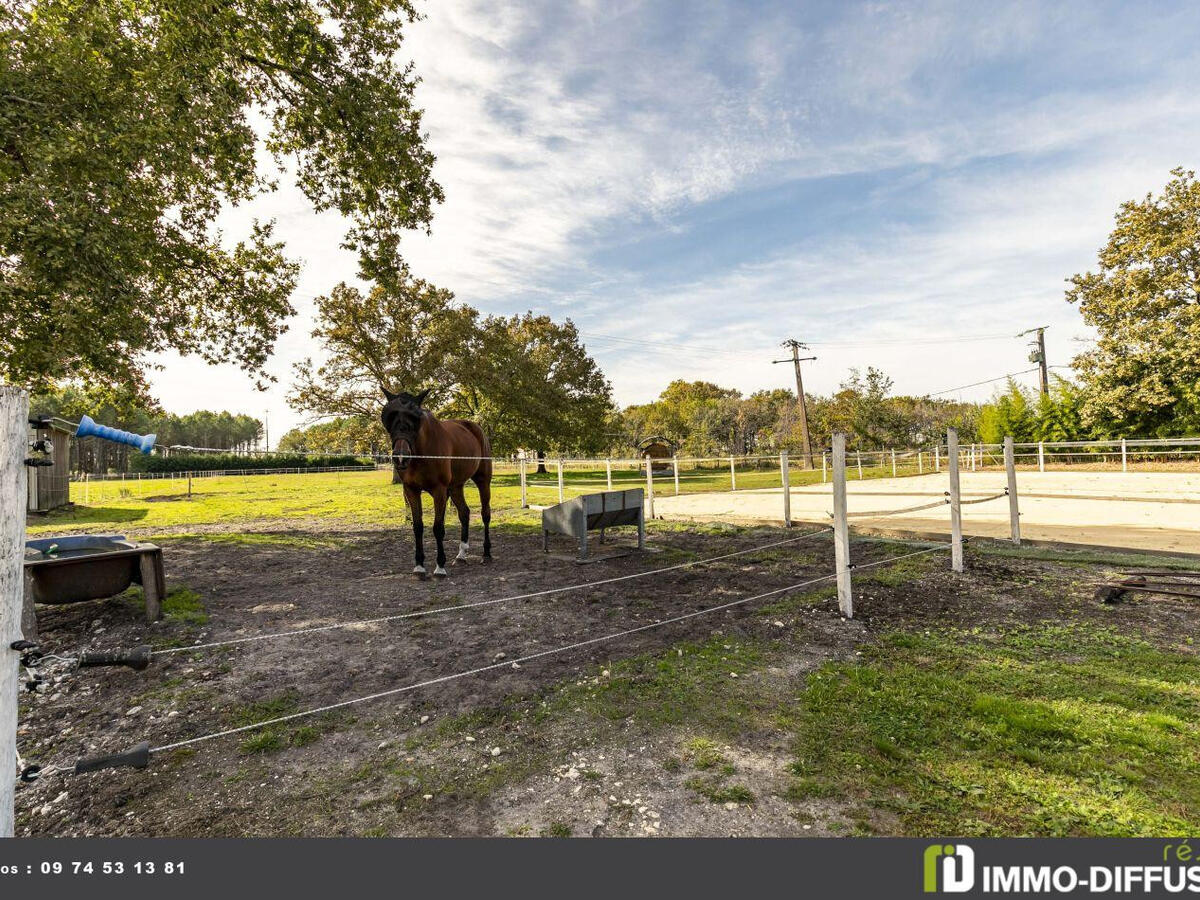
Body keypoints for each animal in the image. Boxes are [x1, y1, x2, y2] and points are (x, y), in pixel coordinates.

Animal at [379, 388, 492, 578]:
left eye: (415, 419)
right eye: (389, 418)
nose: (401, 458)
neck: (422, 454)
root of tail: (475, 428)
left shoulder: (440, 491)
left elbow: (438, 527)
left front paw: (440, 567)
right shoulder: (411, 490)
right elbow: (418, 526)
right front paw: (419, 565)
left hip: (483, 480)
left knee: (485, 514)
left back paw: (487, 553)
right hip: (456, 486)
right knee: (464, 513)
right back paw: (461, 554)